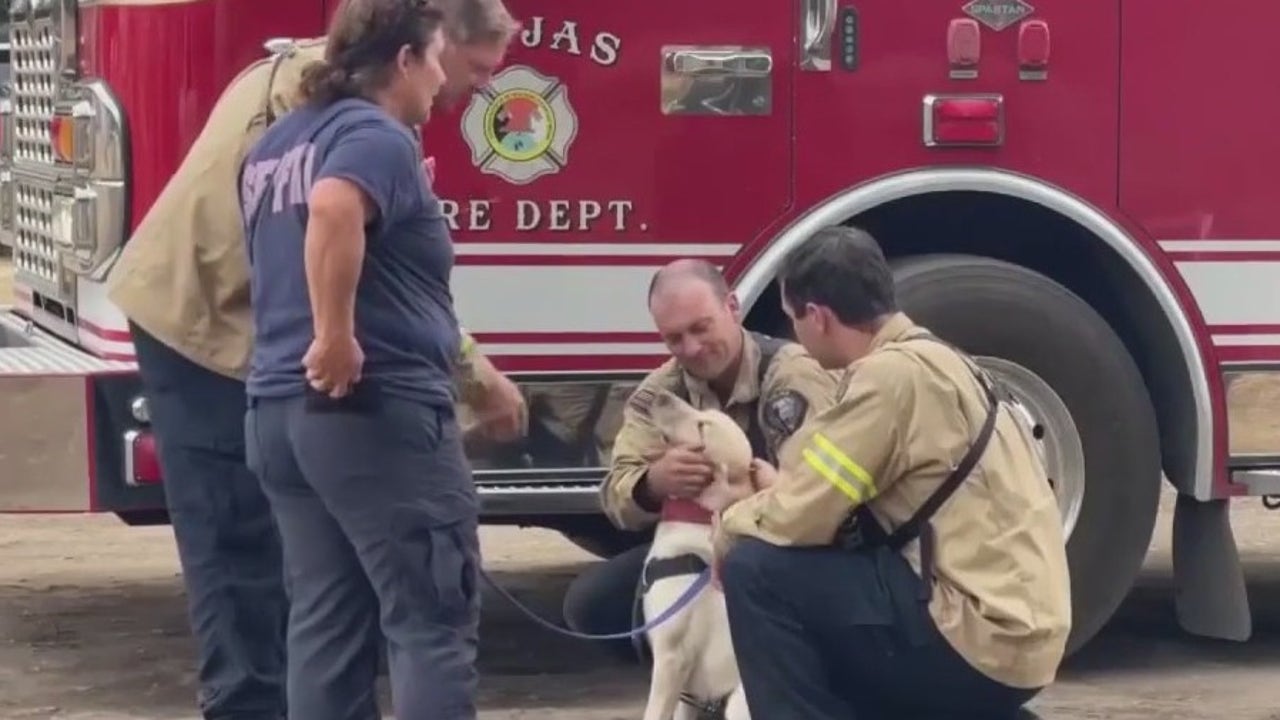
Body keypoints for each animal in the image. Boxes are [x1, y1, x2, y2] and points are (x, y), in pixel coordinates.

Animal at [637, 386, 747, 717]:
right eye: (703, 412)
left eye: (702, 427)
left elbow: (654, 713)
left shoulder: (672, 657)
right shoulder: (689, 694)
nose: (659, 393)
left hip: (737, 703)